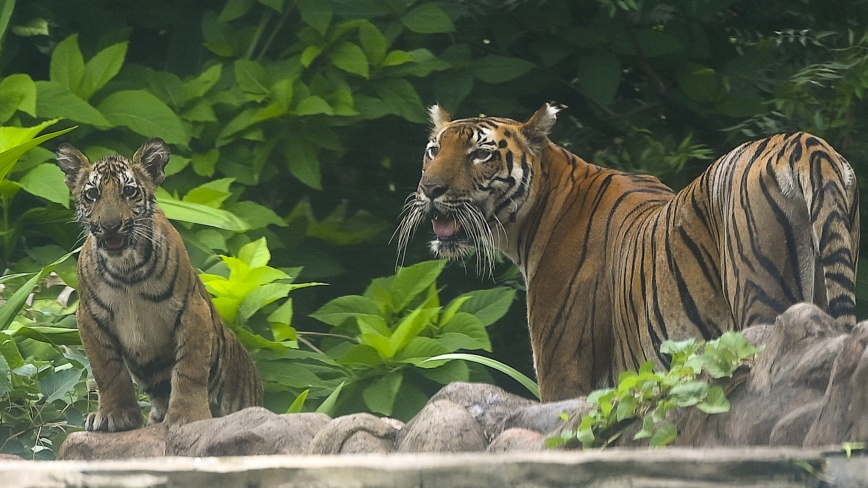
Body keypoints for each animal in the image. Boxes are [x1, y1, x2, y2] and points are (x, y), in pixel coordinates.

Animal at [56, 138, 262, 430]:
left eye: (129, 191)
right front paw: (114, 415)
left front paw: (188, 416)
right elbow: (107, 370)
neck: (126, 268)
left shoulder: (192, 310)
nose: (110, 225)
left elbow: (189, 368)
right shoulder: (89, 317)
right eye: (92, 194)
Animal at [396, 102, 856, 400]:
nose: (429, 189)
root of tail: (803, 142)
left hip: (760, 295)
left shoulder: (564, 374)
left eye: (481, 153)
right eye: (434, 150)